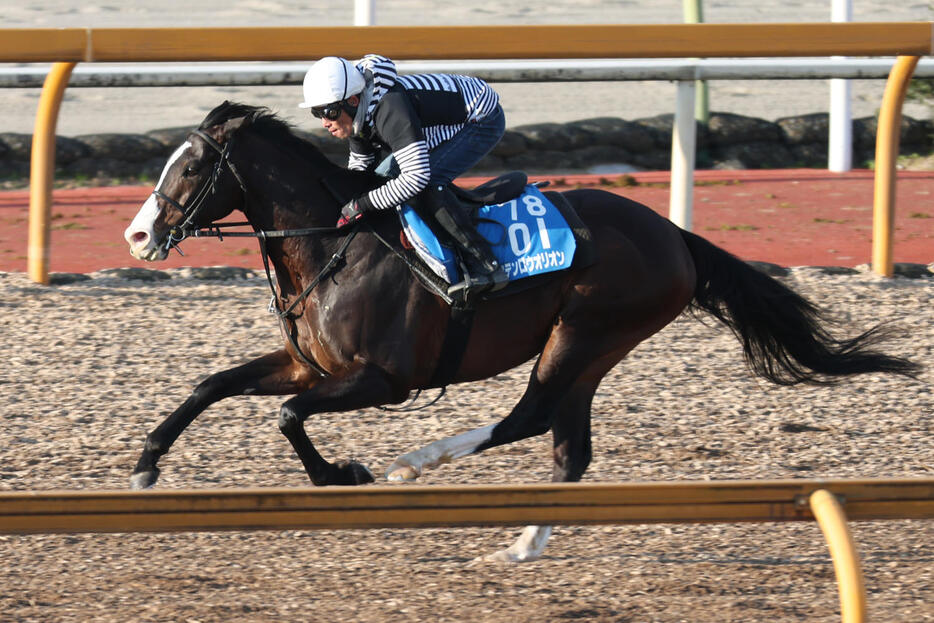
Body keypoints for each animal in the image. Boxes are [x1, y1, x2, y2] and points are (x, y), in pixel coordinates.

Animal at [124, 101, 920, 560]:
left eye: (191, 167)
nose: (137, 235)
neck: (335, 244)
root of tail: (674, 234)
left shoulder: (383, 379)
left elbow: (289, 416)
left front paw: (341, 473)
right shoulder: (312, 366)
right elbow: (211, 384)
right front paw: (146, 464)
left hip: (587, 331)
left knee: (531, 416)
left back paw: (419, 462)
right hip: (593, 347)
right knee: (568, 445)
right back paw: (522, 543)